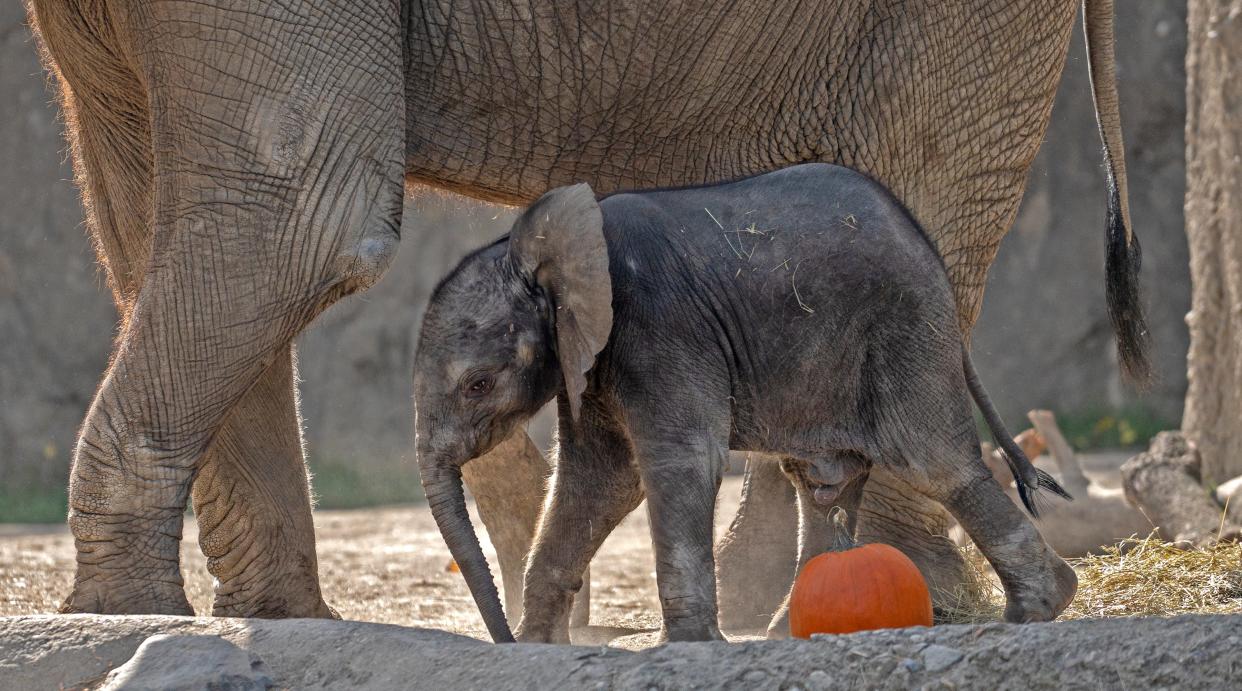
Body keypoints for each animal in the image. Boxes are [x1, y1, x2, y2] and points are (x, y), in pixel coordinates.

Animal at [412, 161, 1073, 641]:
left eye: (477, 384)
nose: (499, 639)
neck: (531, 248)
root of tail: (925, 241)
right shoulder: (592, 361)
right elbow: (596, 481)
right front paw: (538, 647)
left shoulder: (659, 325)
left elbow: (679, 464)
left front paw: (687, 647)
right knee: (825, 479)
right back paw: (791, 634)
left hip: (904, 326)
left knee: (931, 461)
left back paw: (1039, 608)